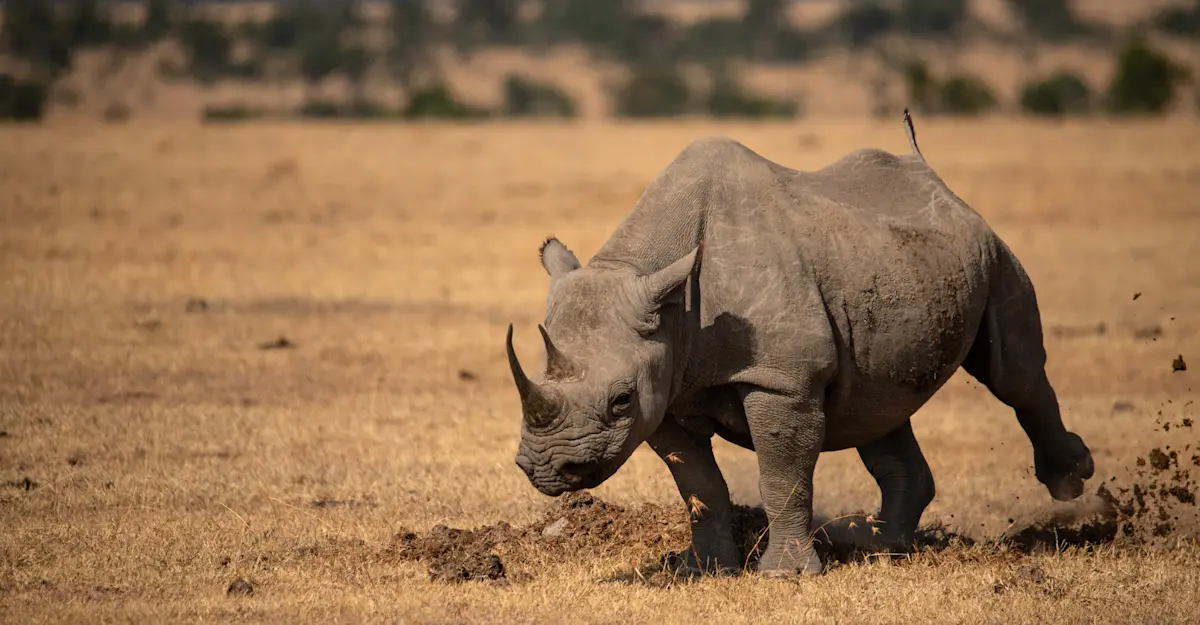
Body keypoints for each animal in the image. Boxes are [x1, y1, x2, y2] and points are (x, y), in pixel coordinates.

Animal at [505, 111, 1094, 577]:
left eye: (619, 400)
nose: (546, 470)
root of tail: (938, 181)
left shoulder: (781, 379)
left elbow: (781, 472)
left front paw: (785, 574)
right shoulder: (665, 390)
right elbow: (698, 484)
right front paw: (703, 570)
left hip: (992, 250)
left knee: (1014, 377)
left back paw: (1071, 484)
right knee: (875, 410)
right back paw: (879, 546)